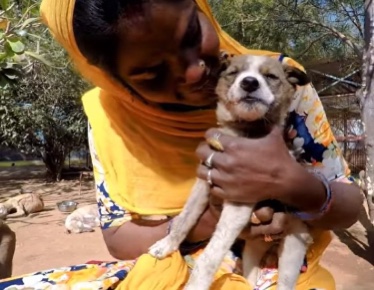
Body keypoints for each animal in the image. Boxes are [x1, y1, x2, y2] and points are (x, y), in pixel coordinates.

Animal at [149, 55, 312, 290]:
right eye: (233, 73)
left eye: (271, 76)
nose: (249, 83)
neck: (242, 133)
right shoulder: (203, 182)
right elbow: (184, 219)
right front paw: (166, 245)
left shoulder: (239, 202)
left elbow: (209, 257)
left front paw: (196, 284)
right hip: (252, 250)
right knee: (249, 278)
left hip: (293, 248)